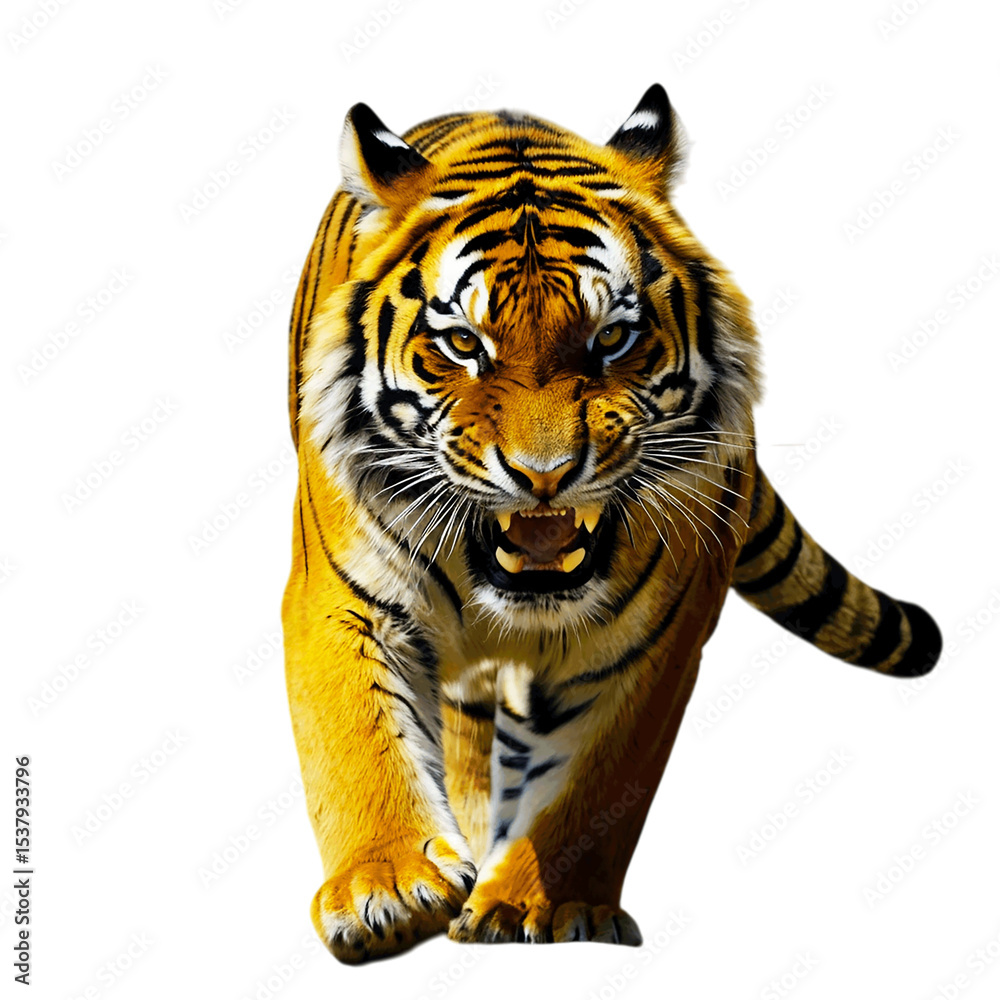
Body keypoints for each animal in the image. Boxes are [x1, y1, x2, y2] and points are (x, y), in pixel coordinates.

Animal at [282, 84, 942, 964]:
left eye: (614, 338)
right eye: (462, 343)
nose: (544, 474)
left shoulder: (659, 638)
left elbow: (600, 784)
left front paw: (539, 904)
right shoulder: (341, 594)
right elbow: (353, 738)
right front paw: (388, 888)